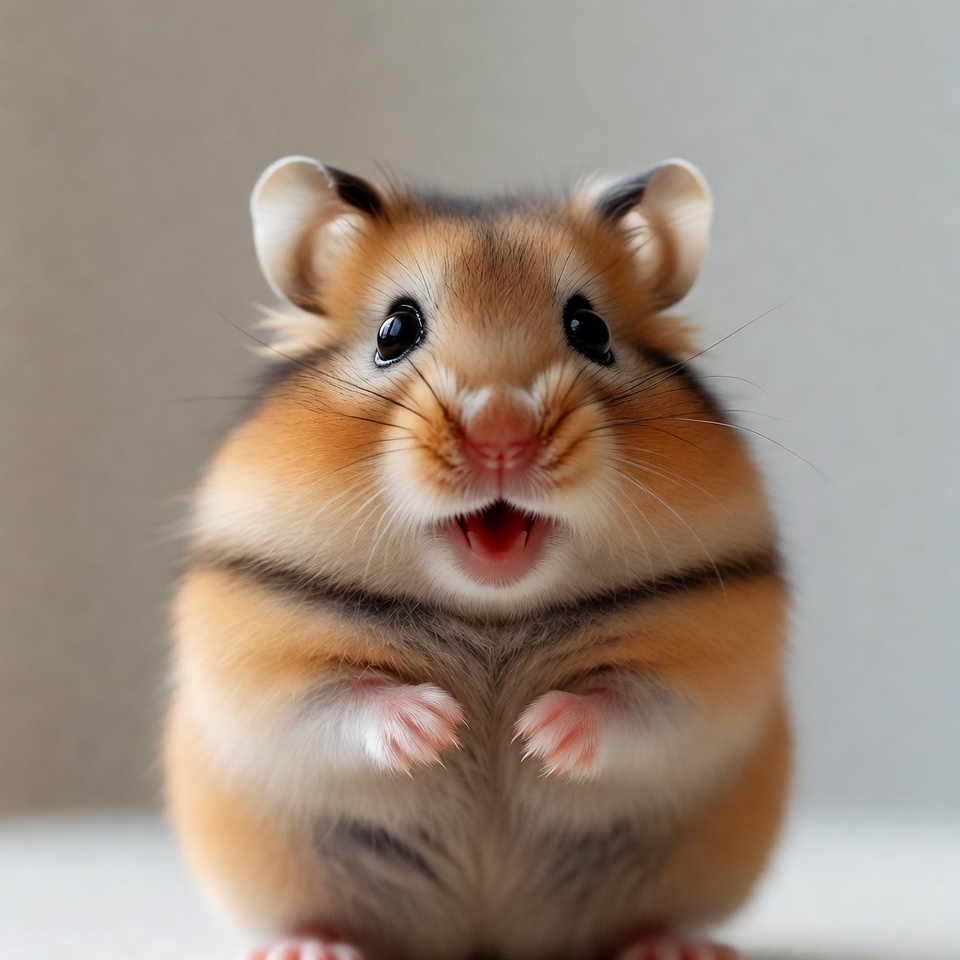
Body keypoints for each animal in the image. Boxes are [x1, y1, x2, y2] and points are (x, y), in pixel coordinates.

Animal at [165, 155, 789, 960]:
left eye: (590, 328)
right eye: (395, 330)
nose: (501, 434)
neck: (492, 611)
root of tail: (486, 937)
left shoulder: (711, 660)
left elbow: (629, 703)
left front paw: (535, 733)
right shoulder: (257, 653)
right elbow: (343, 697)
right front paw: (439, 724)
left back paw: (670, 946)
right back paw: (310, 946)